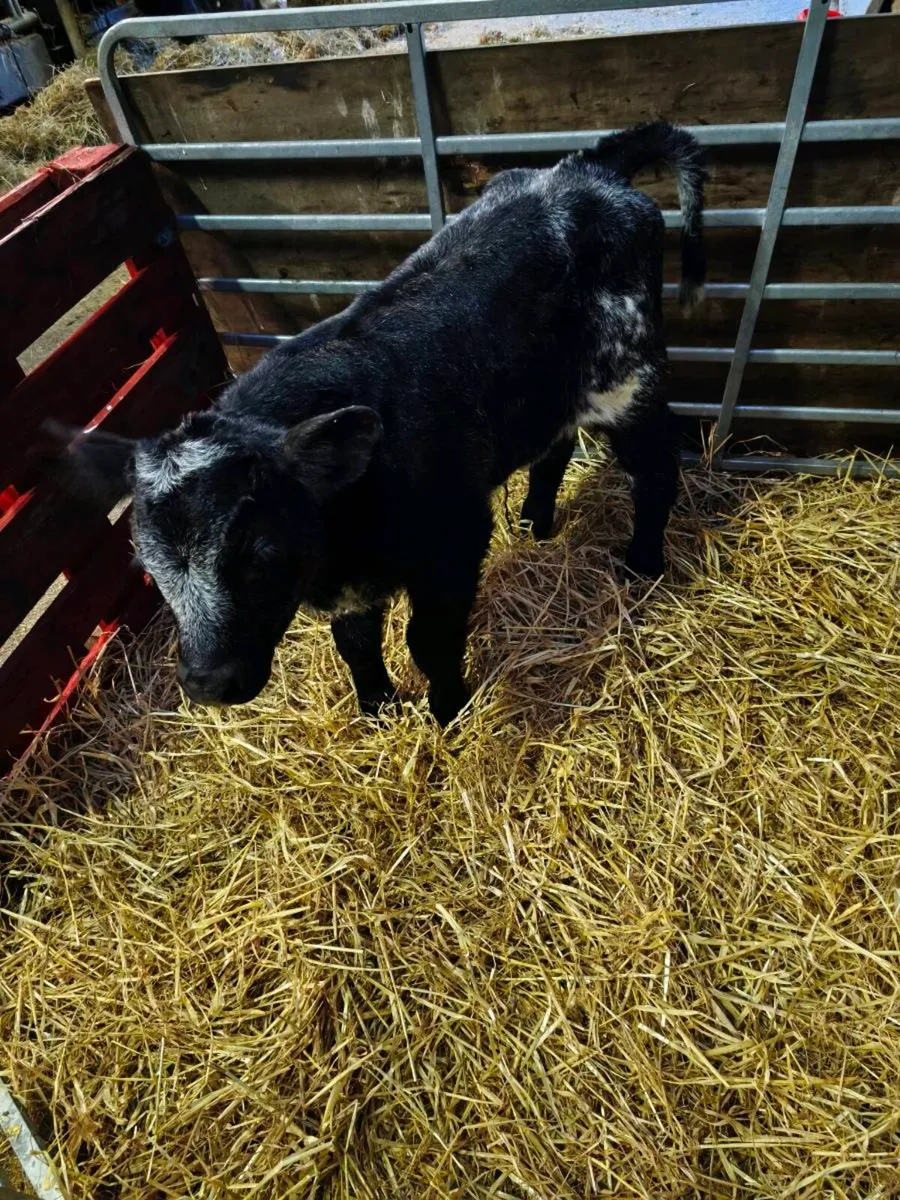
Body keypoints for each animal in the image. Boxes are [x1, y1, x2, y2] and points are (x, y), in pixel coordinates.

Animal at [54, 121, 706, 726]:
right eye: (150, 570)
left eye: (258, 553)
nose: (208, 683)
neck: (341, 545)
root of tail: (585, 169)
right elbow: (357, 644)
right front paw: (376, 707)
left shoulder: (455, 537)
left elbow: (428, 641)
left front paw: (447, 712)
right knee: (555, 444)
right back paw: (535, 522)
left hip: (627, 376)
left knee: (656, 469)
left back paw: (642, 564)